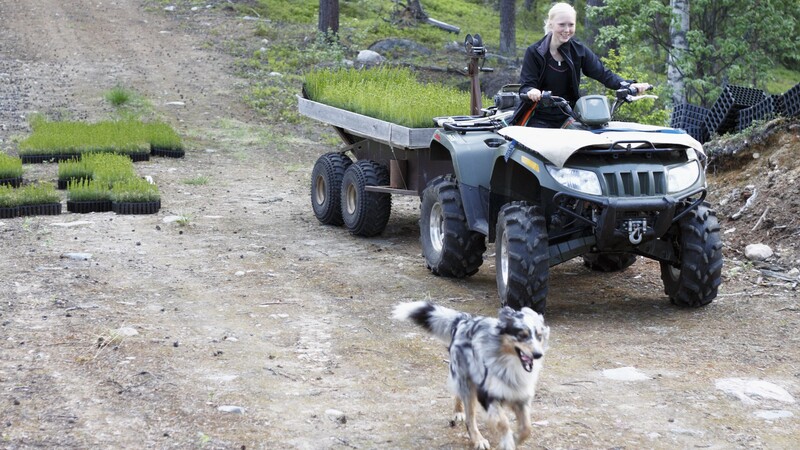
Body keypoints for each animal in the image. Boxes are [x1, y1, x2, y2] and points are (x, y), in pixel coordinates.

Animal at [394, 300, 552, 450]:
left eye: (539, 336)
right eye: (522, 335)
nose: (538, 354)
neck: (510, 364)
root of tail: (463, 320)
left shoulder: (520, 397)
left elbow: (527, 428)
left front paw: (515, 439)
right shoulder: (486, 395)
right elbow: (503, 422)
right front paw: (507, 442)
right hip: (466, 383)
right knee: (469, 416)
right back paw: (475, 435)